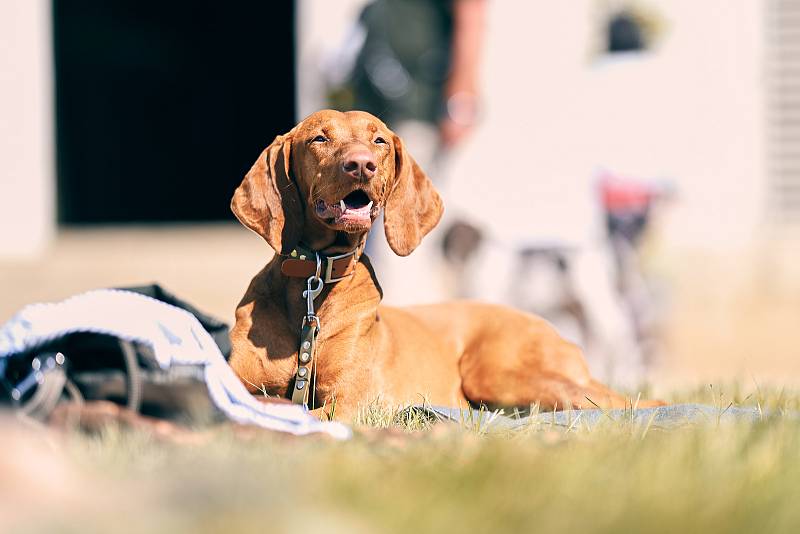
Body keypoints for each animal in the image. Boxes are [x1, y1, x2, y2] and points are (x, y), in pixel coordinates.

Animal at [228, 111, 660, 420]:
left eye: (378, 140)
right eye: (320, 138)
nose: (361, 164)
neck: (313, 283)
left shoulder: (348, 404)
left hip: (500, 372)